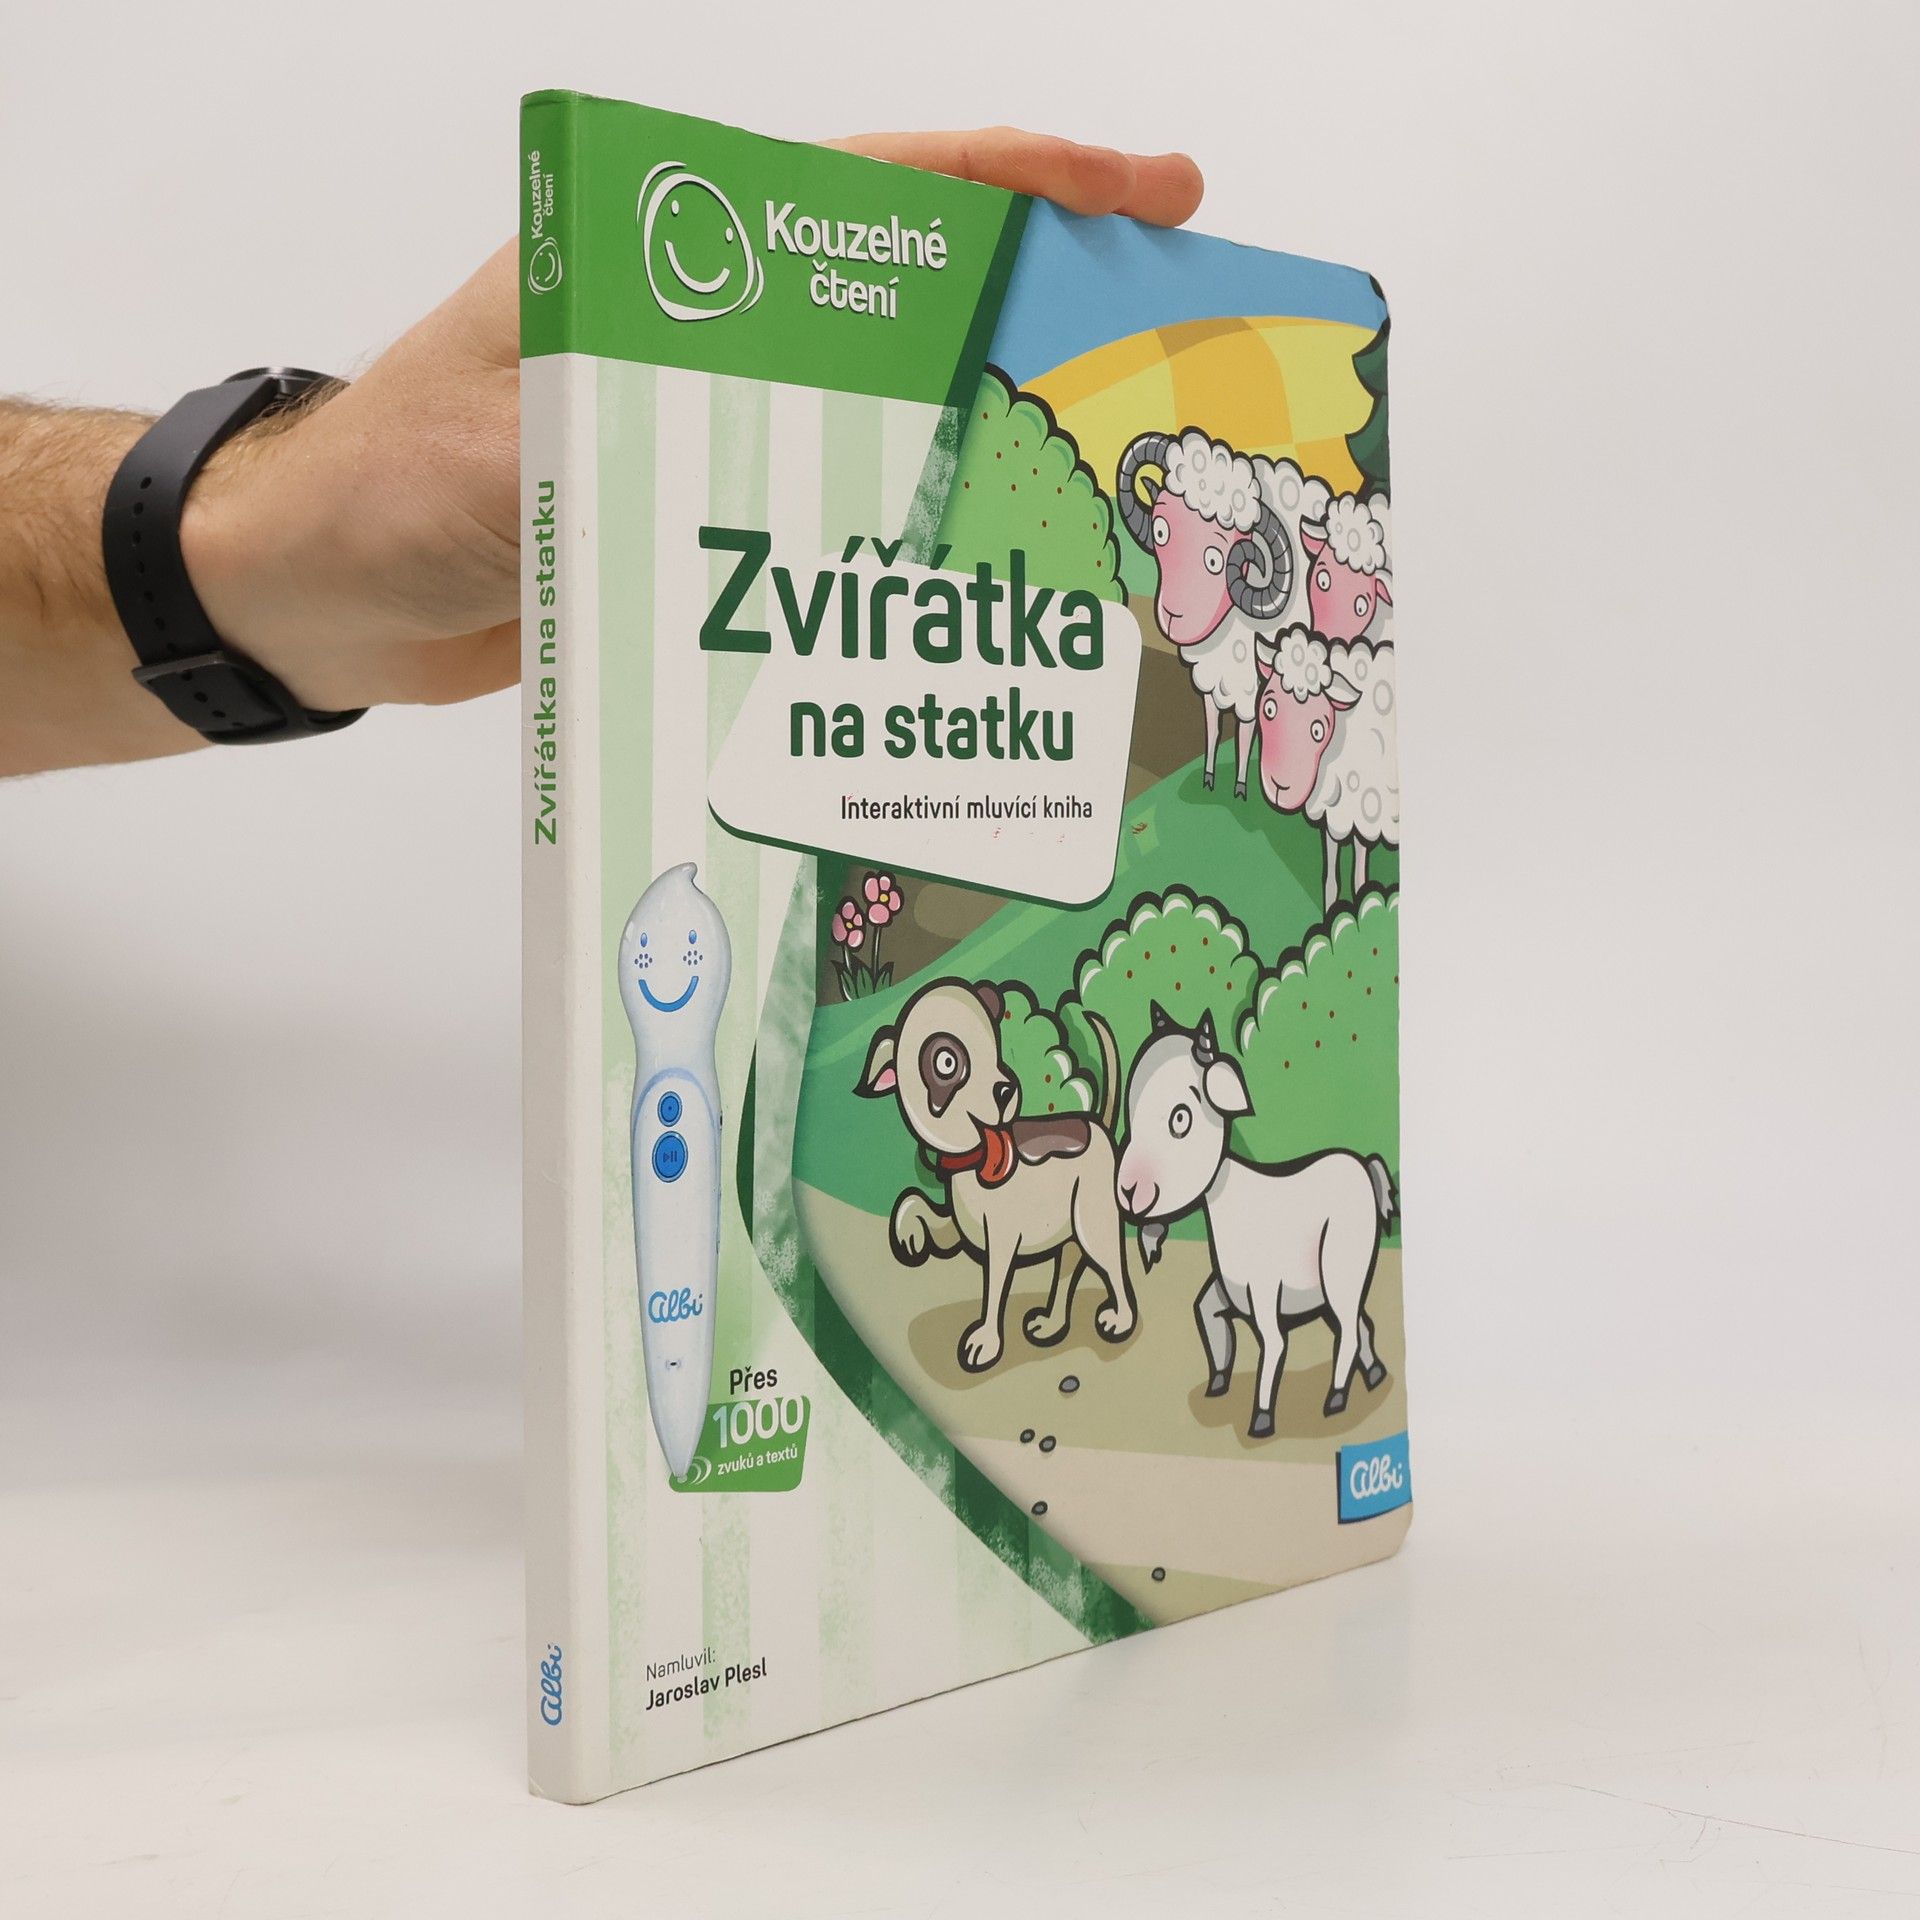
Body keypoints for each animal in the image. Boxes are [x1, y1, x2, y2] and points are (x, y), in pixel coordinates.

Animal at [856, 978, 1135, 1373]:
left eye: (996, 1046)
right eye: (947, 1062)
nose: (1006, 1089)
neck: (974, 1159)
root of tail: (1096, 1124)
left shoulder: (1002, 1241)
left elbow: (994, 1289)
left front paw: (985, 1343)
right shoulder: (957, 1227)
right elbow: (914, 1203)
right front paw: (909, 1236)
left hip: (1092, 1223)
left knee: (1111, 1265)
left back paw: (1120, 1320)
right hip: (1068, 1230)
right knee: (1068, 1266)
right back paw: (1051, 1324)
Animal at [1114, 1005, 1395, 1435]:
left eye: (1180, 1119)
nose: (1129, 1192)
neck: (1227, 1201)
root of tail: (1365, 1165)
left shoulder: (1264, 1293)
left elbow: (1274, 1345)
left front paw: (1262, 1418)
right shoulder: (1226, 1292)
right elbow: (1209, 1322)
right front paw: (1217, 1383)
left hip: (1342, 1267)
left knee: (1348, 1330)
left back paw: (1336, 1397)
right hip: (1332, 1287)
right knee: (1360, 1324)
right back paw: (1375, 1374)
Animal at [1116, 429, 1307, 799]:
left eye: (1216, 560)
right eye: (1160, 531)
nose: (1173, 616)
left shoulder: (1252, 692)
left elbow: (1245, 738)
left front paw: (1241, 789)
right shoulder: (1209, 685)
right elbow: (1213, 729)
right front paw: (1208, 779)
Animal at [1253, 629, 1400, 911]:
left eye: (1318, 730)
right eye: (1268, 708)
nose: (1279, 786)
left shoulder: (1364, 811)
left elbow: (1359, 876)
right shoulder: (1337, 813)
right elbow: (1331, 879)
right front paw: (1333, 912)